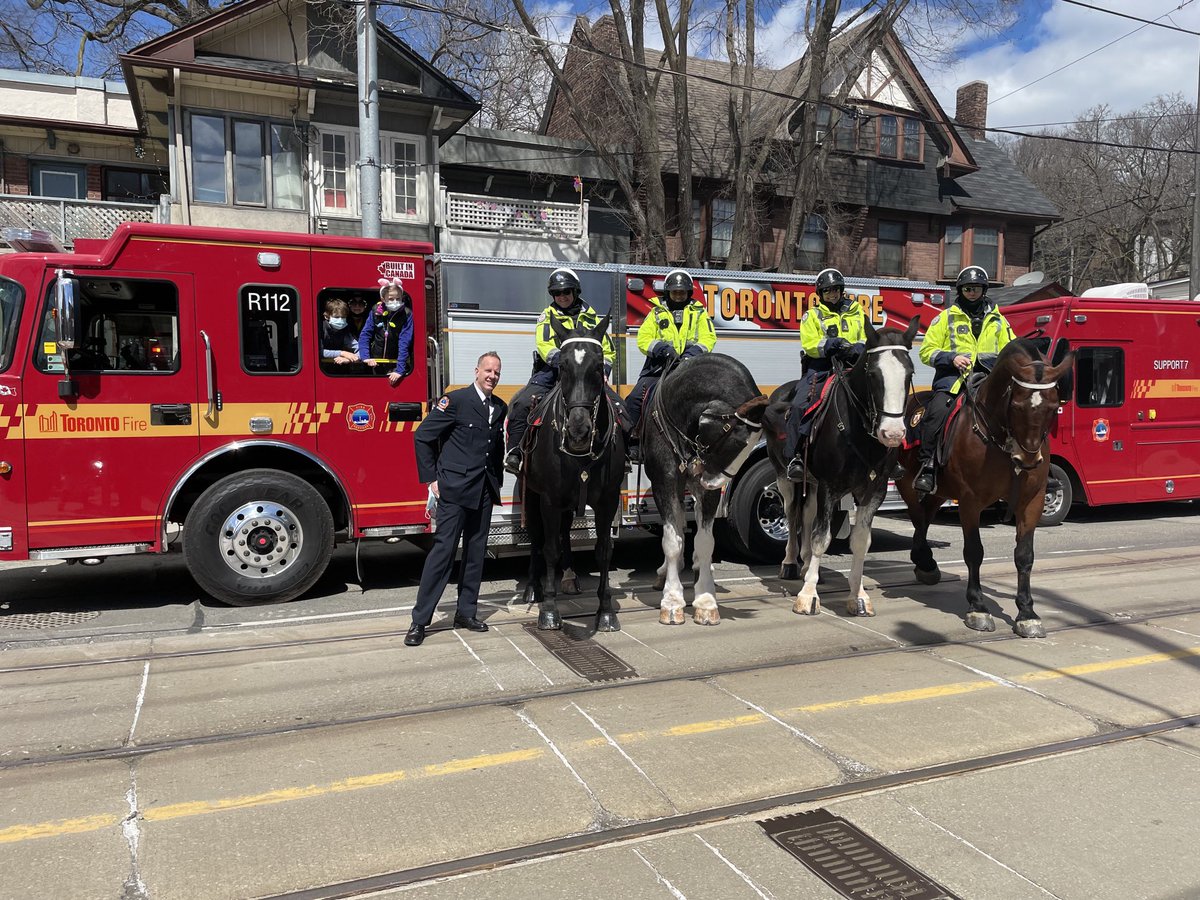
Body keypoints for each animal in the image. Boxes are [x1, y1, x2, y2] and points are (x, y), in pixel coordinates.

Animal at [520, 316, 628, 633]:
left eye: (598, 365)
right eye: (564, 366)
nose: (578, 429)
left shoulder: (607, 500)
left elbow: (604, 550)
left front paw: (605, 611)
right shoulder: (549, 500)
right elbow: (549, 549)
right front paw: (549, 610)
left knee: (565, 532)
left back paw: (569, 577)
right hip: (532, 495)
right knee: (537, 539)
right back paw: (533, 588)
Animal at [643, 352, 763, 628]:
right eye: (737, 440)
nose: (712, 482)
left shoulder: (707, 492)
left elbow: (706, 541)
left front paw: (706, 602)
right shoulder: (664, 483)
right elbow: (672, 540)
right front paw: (672, 601)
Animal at [763, 319, 921, 619]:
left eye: (909, 373)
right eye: (873, 374)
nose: (893, 433)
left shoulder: (874, 490)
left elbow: (860, 541)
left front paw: (858, 597)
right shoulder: (830, 485)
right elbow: (821, 537)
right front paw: (808, 596)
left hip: (812, 483)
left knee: (807, 515)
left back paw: (806, 563)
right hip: (784, 476)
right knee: (792, 514)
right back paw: (790, 563)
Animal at [897, 338, 1075, 643]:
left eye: (1054, 406)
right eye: (1017, 404)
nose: (1028, 460)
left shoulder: (1032, 501)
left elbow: (1024, 555)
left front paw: (1027, 613)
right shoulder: (970, 501)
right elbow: (974, 551)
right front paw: (978, 607)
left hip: (940, 491)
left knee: (926, 516)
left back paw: (926, 563)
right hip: (906, 483)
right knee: (918, 517)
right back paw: (923, 560)